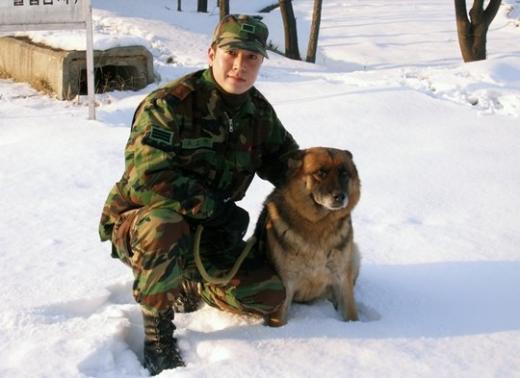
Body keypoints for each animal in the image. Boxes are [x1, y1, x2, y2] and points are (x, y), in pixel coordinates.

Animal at [256, 147, 362, 324]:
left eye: (344, 174)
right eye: (321, 173)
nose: (340, 197)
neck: (318, 224)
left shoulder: (342, 280)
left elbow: (351, 314)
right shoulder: (286, 285)